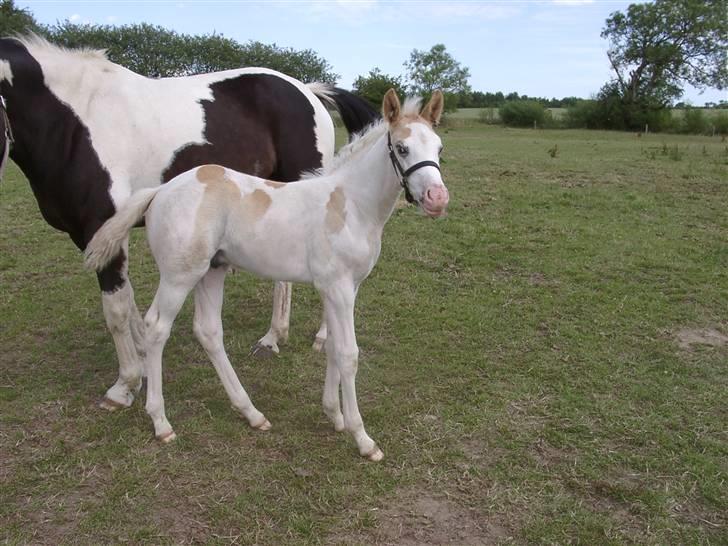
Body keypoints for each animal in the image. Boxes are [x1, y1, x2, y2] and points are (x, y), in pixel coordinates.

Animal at [0, 34, 376, 408]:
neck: (78, 122)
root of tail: (307, 90)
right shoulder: (94, 237)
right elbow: (130, 303)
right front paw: (144, 363)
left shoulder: (102, 229)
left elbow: (116, 311)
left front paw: (124, 385)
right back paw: (273, 337)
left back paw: (317, 337)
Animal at [85, 90, 450, 460]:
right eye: (402, 148)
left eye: (439, 148)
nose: (437, 199)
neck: (349, 205)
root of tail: (160, 191)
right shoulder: (338, 288)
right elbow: (348, 354)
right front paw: (363, 439)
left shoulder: (343, 289)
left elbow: (332, 346)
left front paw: (334, 416)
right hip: (179, 276)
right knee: (157, 328)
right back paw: (161, 422)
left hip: (212, 272)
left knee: (208, 331)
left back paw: (251, 413)